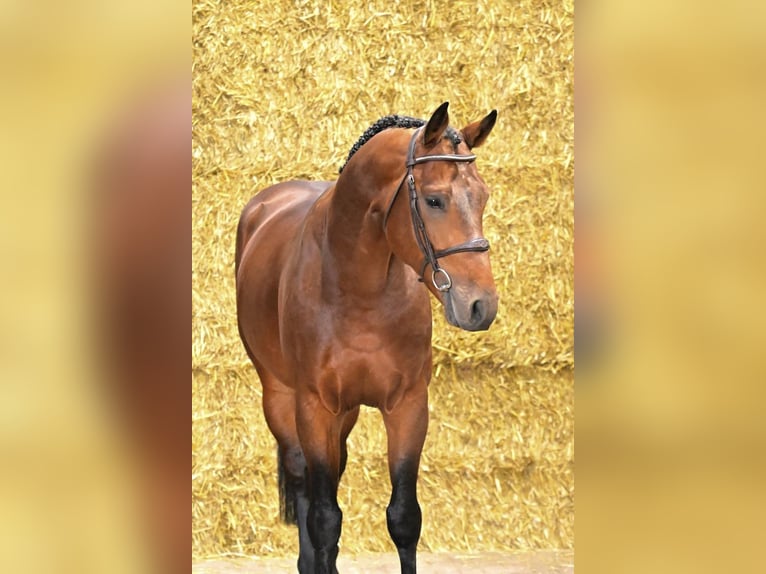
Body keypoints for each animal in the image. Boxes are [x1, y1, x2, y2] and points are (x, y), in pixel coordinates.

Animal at [235, 102, 498, 574]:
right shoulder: (315, 408)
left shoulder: (408, 406)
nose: (480, 305)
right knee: (303, 481)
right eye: (434, 199)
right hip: (280, 398)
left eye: (482, 197)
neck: (357, 289)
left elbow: (404, 518)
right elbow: (323, 518)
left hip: (348, 412)